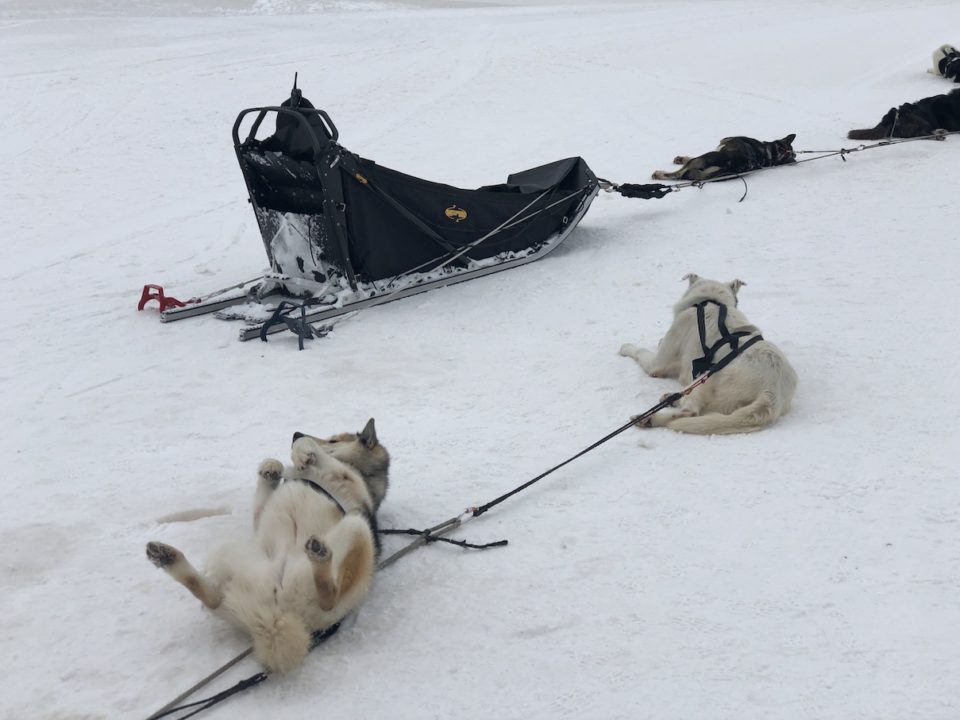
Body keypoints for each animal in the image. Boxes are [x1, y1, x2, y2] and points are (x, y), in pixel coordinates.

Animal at [145, 420, 390, 672]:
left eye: (333, 440)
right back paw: (166, 557)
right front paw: (271, 468)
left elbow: (321, 456)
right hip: (229, 556)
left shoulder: (348, 478)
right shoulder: (260, 518)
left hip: (357, 528)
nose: (295, 433)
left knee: (329, 597)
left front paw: (302, 451)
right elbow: (262, 500)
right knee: (212, 596)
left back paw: (320, 556)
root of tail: (277, 612)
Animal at [620, 274, 800, 434]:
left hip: (706, 376)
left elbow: (640, 351)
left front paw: (626, 347)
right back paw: (669, 399)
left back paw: (649, 418)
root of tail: (772, 393)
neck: (711, 301)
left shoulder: (658, 364)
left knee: (690, 411)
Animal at [652, 134, 796, 183]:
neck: (769, 153)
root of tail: (730, 166)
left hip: (704, 157)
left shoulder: (721, 143)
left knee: (678, 174)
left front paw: (681, 158)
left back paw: (658, 174)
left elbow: (688, 159)